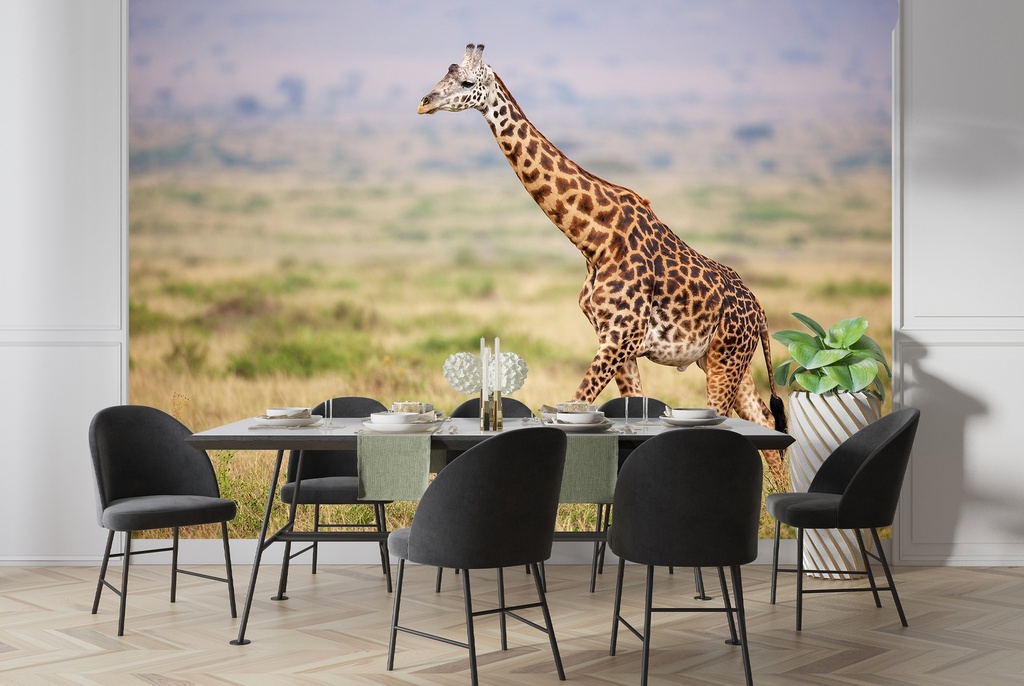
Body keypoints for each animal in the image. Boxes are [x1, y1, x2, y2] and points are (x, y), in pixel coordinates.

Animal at [419, 44, 787, 474]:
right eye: (444, 73)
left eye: (466, 82)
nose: (425, 103)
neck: (593, 240)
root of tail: (759, 310)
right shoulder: (616, 343)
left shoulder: (618, 340)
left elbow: (576, 404)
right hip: (723, 358)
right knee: (765, 419)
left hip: (726, 360)